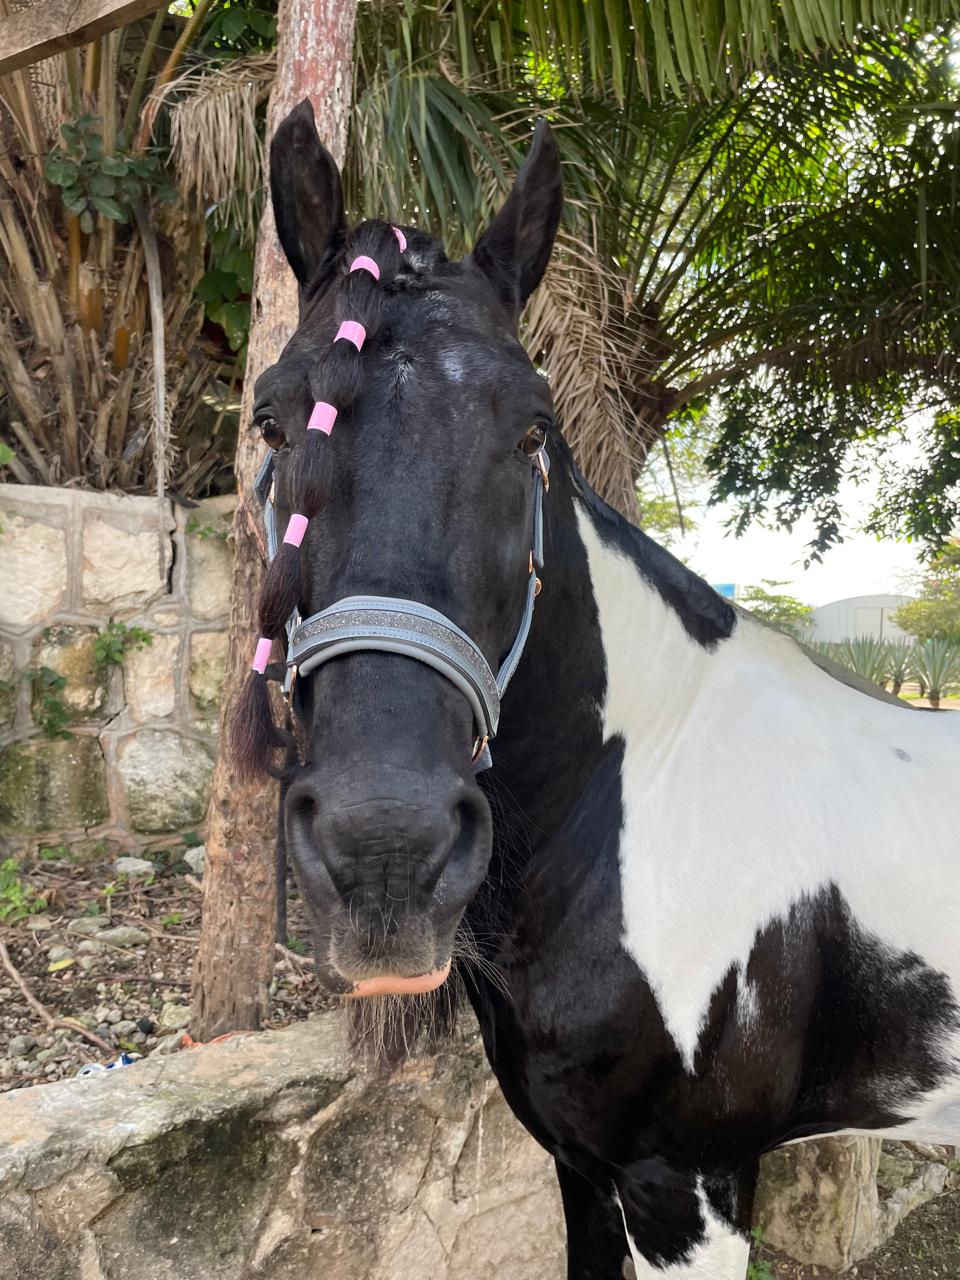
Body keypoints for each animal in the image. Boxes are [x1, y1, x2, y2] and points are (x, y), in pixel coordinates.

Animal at [231, 99, 960, 1279]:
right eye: (270, 420)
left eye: (533, 427)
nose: (384, 849)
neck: (650, 800)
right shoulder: (580, 1166)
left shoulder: (688, 1186)